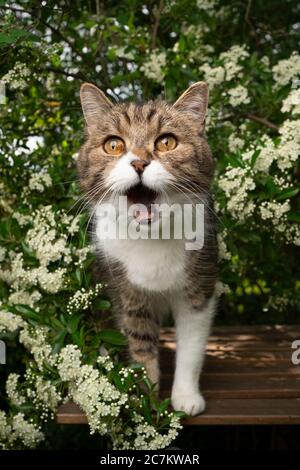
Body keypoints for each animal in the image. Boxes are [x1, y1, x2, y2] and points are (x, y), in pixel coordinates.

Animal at [77, 81, 218, 414]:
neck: (151, 237)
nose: (139, 162)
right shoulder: (126, 293)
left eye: (166, 142)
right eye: (113, 145)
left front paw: (186, 397)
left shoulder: (199, 288)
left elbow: (191, 346)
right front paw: (147, 401)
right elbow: (140, 346)